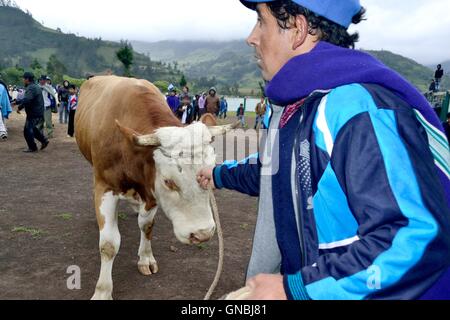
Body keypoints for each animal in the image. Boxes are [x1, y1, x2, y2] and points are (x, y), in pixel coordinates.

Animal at [74, 75, 234, 300]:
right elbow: (108, 244)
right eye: (168, 181)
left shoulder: (151, 192)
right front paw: (103, 291)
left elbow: (147, 225)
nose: (202, 234)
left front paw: (146, 258)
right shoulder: (105, 186)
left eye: (209, 174)